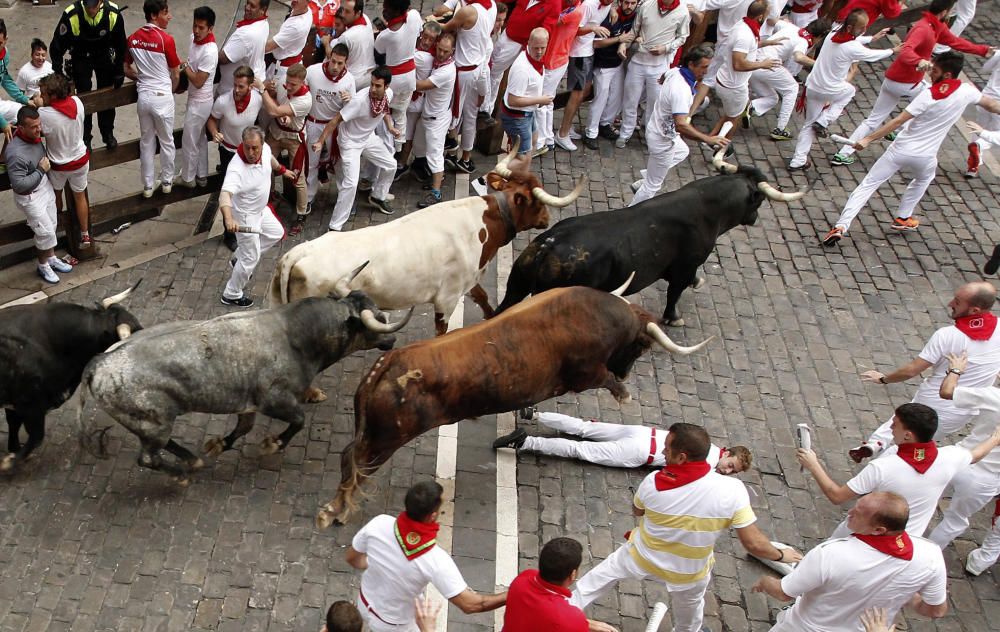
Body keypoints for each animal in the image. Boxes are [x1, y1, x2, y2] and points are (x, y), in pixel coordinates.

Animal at [0, 284, 143, 472]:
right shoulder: (31, 404)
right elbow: (36, 435)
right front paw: (9, 462)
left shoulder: (15, 402)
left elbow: (14, 424)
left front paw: (14, 450)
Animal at [76, 278, 408, 484]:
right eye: (377, 320)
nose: (392, 339)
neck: (295, 335)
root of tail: (99, 363)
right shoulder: (276, 400)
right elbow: (298, 421)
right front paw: (273, 443)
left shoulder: (248, 403)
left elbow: (243, 427)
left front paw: (220, 444)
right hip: (153, 422)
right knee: (148, 458)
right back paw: (181, 473)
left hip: (152, 424)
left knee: (160, 448)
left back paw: (192, 459)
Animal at [270, 151, 588, 336]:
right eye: (537, 201)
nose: (547, 218)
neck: (481, 225)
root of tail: (300, 251)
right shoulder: (446, 299)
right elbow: (442, 330)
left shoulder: (470, 279)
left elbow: (484, 298)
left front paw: (492, 319)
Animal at [316, 282, 716, 528]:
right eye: (642, 345)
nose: (626, 371)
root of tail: (388, 363)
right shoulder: (585, 374)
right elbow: (603, 378)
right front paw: (624, 392)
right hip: (386, 439)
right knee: (357, 466)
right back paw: (336, 511)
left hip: (371, 432)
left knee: (348, 456)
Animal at [496, 158, 808, 328]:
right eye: (760, 198)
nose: (754, 219)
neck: (706, 208)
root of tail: (548, 244)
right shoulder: (685, 265)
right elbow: (675, 292)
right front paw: (673, 317)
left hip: (516, 285)